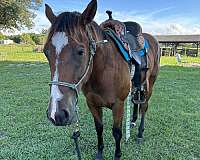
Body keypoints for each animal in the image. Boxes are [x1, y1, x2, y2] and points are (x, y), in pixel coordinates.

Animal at [43, 0, 161, 159]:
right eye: (46, 52)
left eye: (81, 51)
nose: (57, 114)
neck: (103, 70)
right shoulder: (92, 103)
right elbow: (99, 128)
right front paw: (100, 152)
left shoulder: (118, 105)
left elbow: (117, 132)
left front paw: (117, 155)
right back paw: (132, 121)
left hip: (150, 84)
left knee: (144, 106)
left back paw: (140, 133)